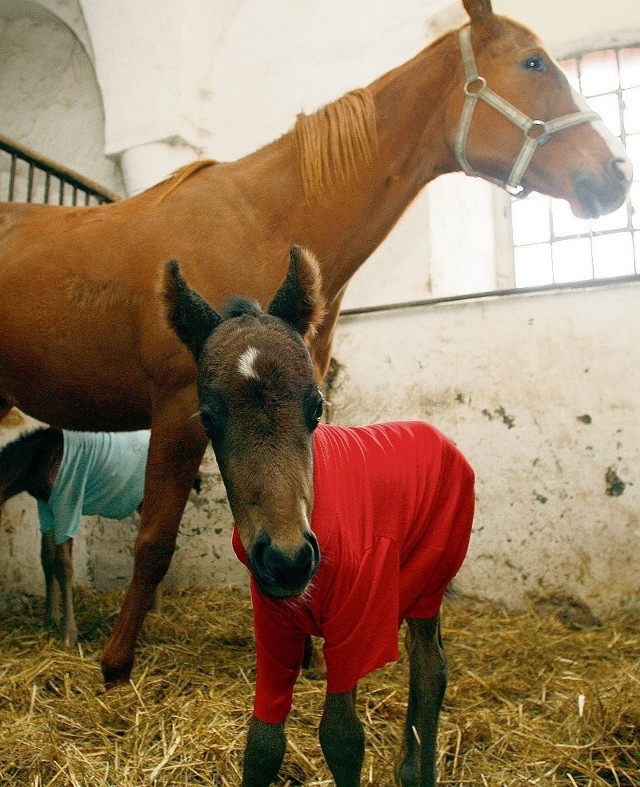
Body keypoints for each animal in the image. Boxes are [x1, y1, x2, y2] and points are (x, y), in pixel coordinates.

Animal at [0, 0, 632, 684]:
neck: (263, 220)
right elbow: (154, 542)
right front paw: (116, 664)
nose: (616, 175)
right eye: (534, 63)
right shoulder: (179, 410)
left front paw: (301, 651)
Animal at [165, 245, 476, 780]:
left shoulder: (356, 619)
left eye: (316, 408)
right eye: (208, 418)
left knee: (430, 666)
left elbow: (343, 738)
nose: (287, 558)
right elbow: (263, 740)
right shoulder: (273, 625)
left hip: (431, 577)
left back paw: (417, 772)